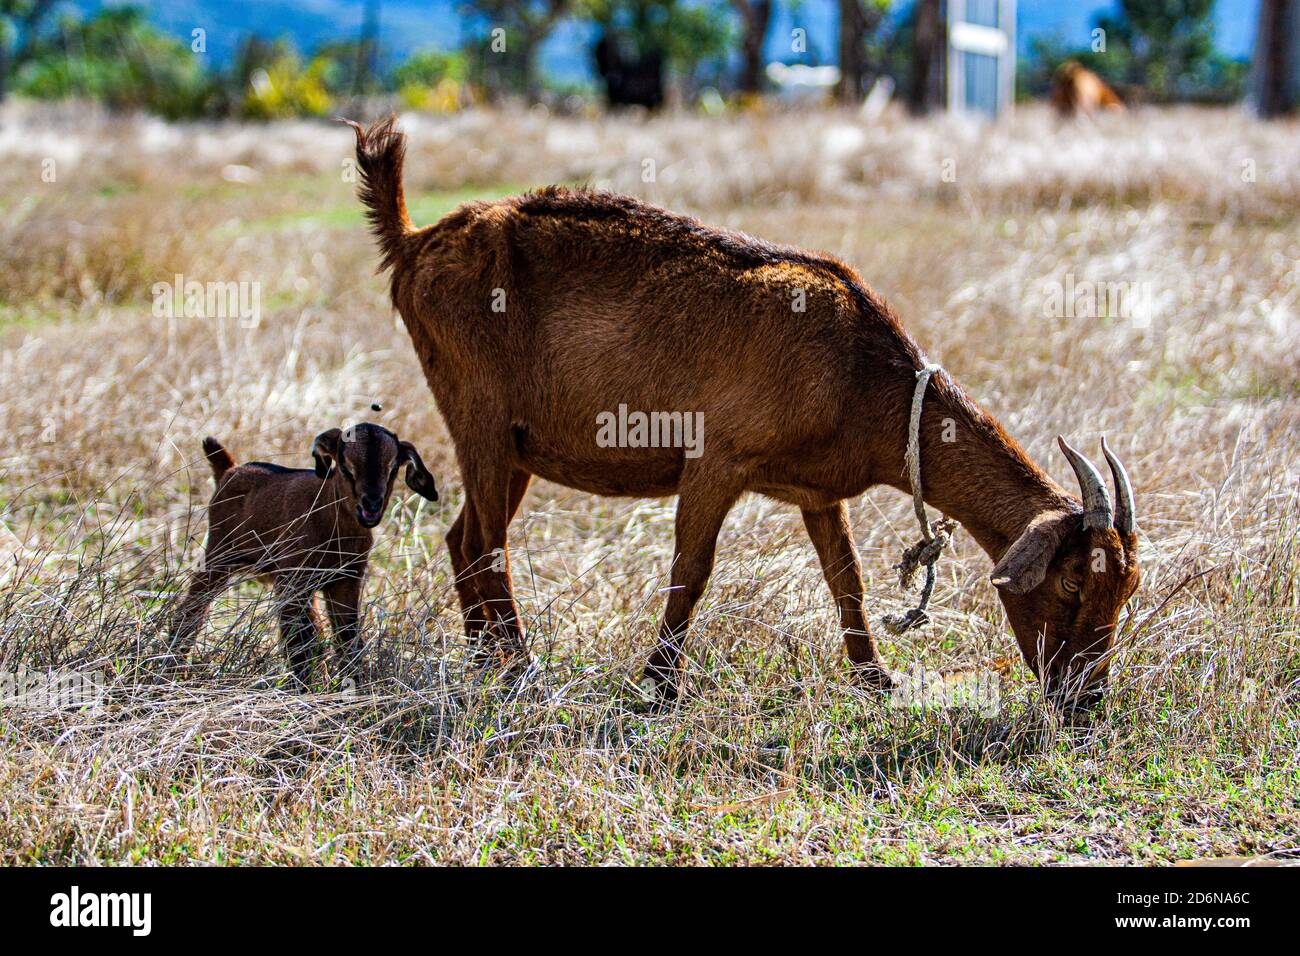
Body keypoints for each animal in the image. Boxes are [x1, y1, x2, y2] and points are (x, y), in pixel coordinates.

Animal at [348, 117, 1138, 702]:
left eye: (1126, 590)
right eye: (1073, 579)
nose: (1085, 697)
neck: (861, 374)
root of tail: (414, 242)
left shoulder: (818, 492)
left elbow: (846, 579)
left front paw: (875, 678)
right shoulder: (716, 460)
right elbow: (692, 569)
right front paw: (659, 685)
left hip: (514, 443)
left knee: (462, 537)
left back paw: (488, 661)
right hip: (477, 415)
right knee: (485, 541)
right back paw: (519, 665)